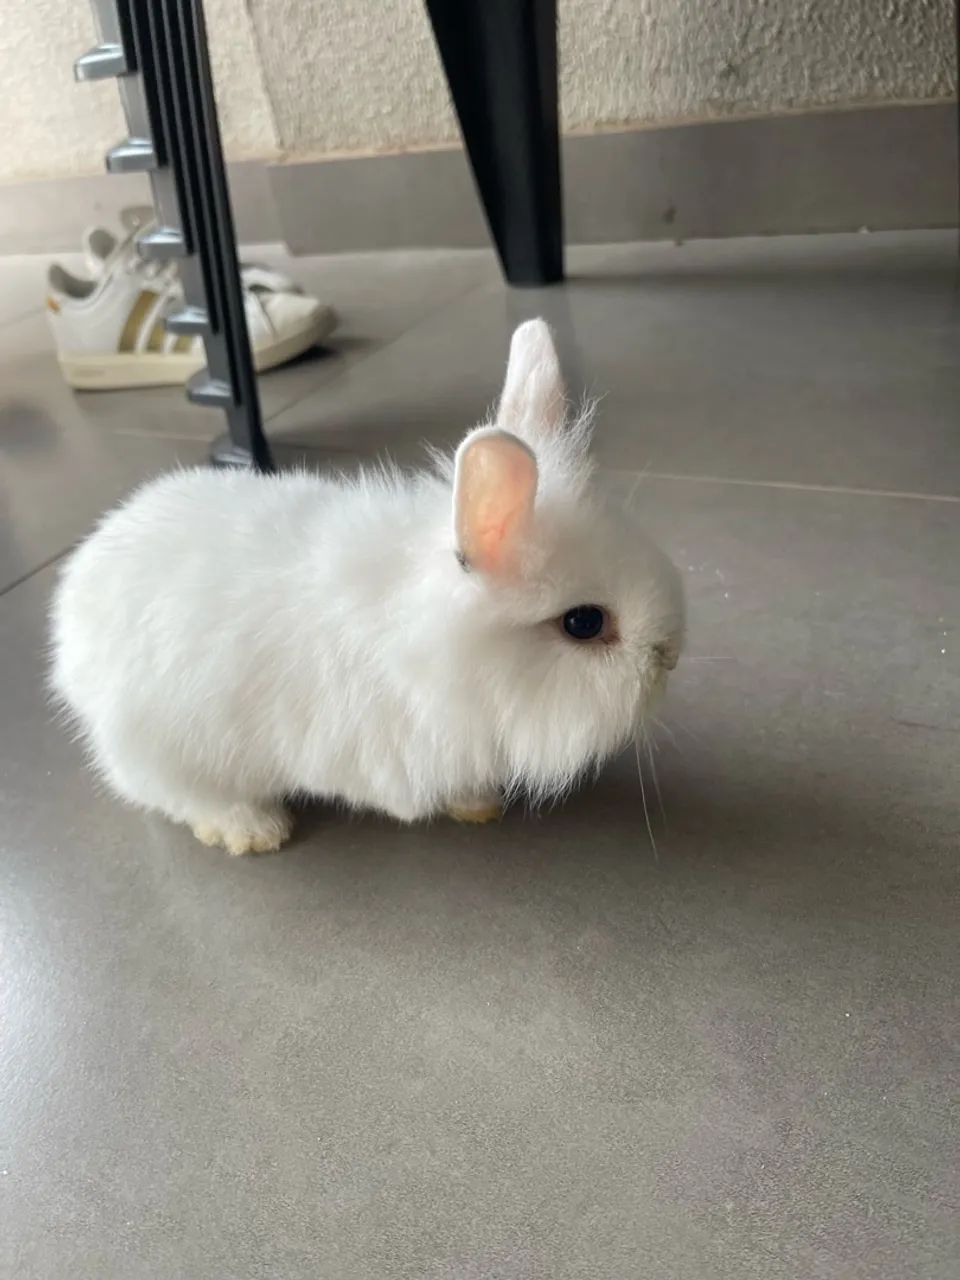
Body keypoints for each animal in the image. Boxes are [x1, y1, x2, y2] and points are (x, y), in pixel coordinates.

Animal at [49, 319, 684, 854]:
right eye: (585, 623)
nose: (670, 657)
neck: (435, 650)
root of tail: (71, 612)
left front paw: (479, 805)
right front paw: (476, 805)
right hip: (164, 749)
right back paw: (254, 831)